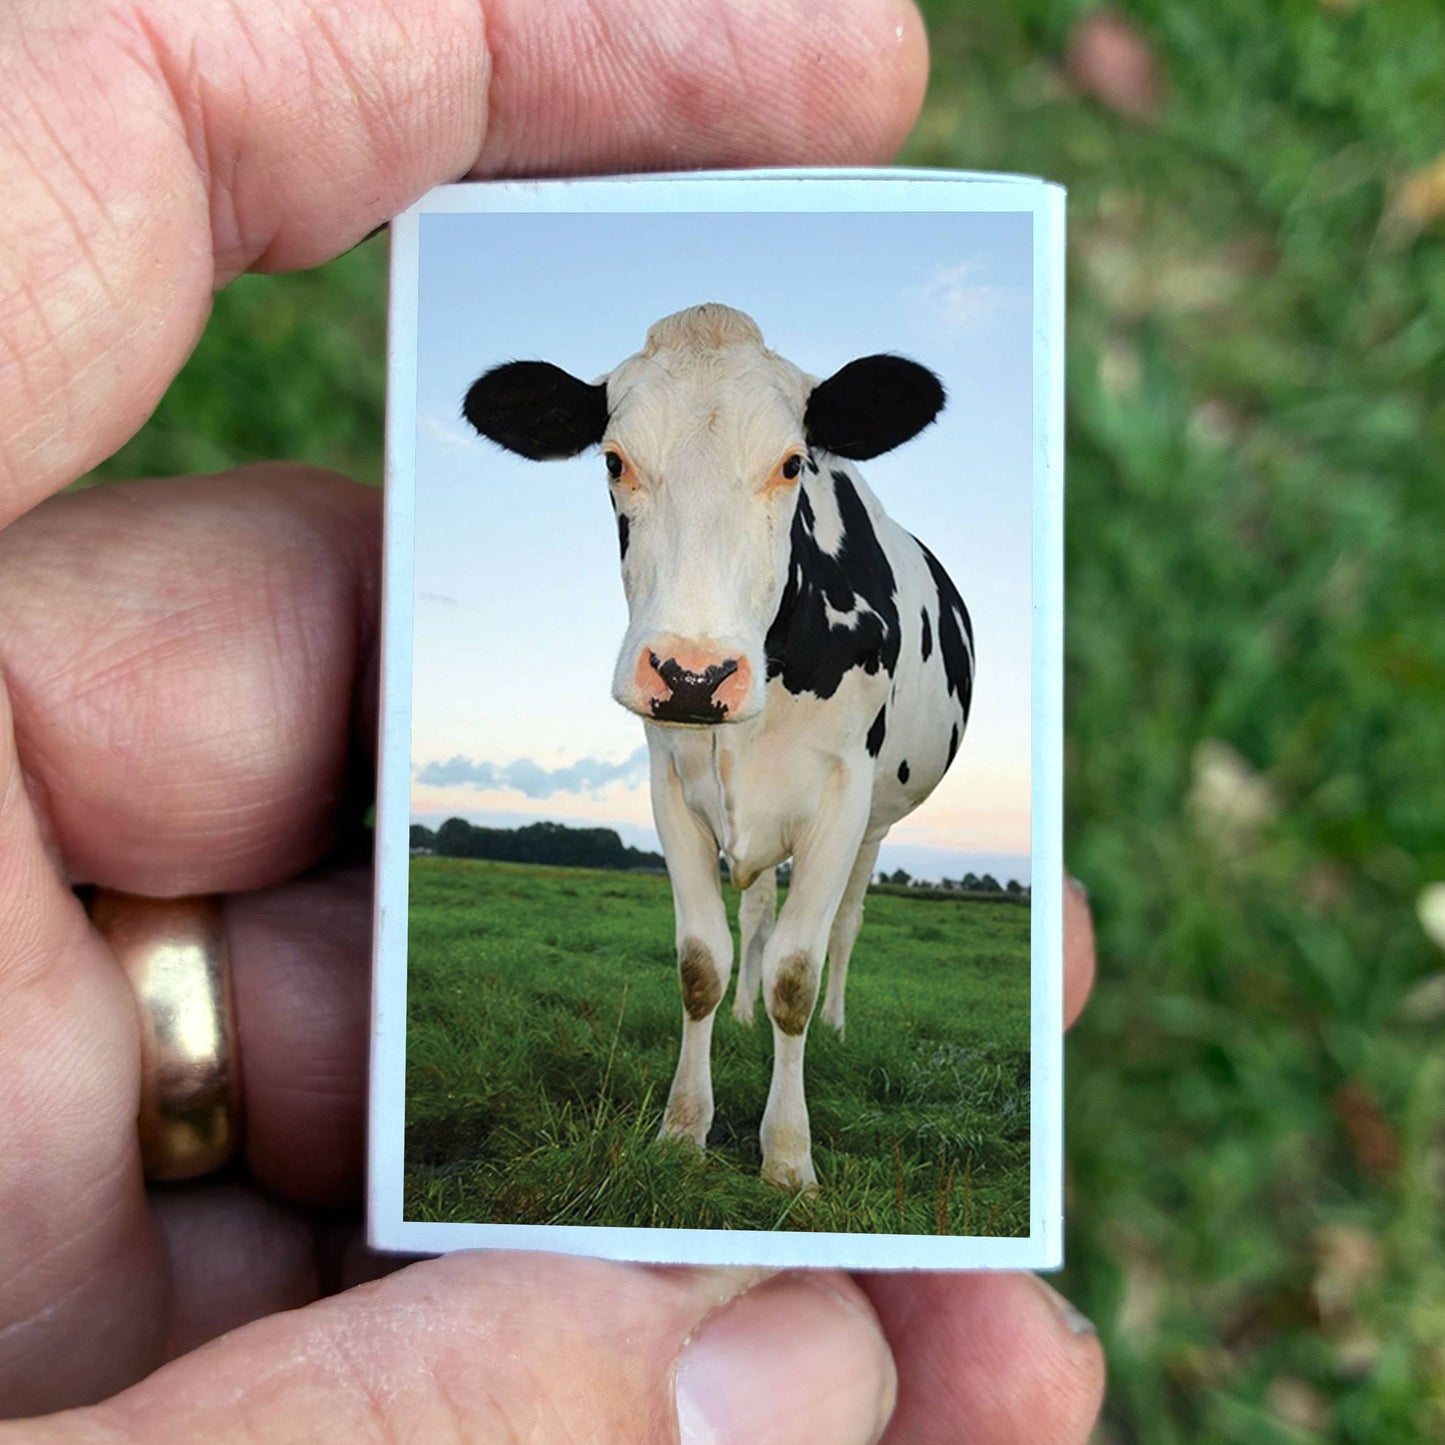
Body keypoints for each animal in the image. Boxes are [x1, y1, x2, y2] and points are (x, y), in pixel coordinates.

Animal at [462, 304, 974, 1191]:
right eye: (614, 459)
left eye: (791, 462)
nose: (694, 674)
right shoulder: (670, 780)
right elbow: (701, 961)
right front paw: (682, 1127)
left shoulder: (842, 794)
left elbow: (796, 974)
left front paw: (789, 1157)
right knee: (758, 910)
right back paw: (742, 1015)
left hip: (877, 823)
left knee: (843, 927)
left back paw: (837, 1026)